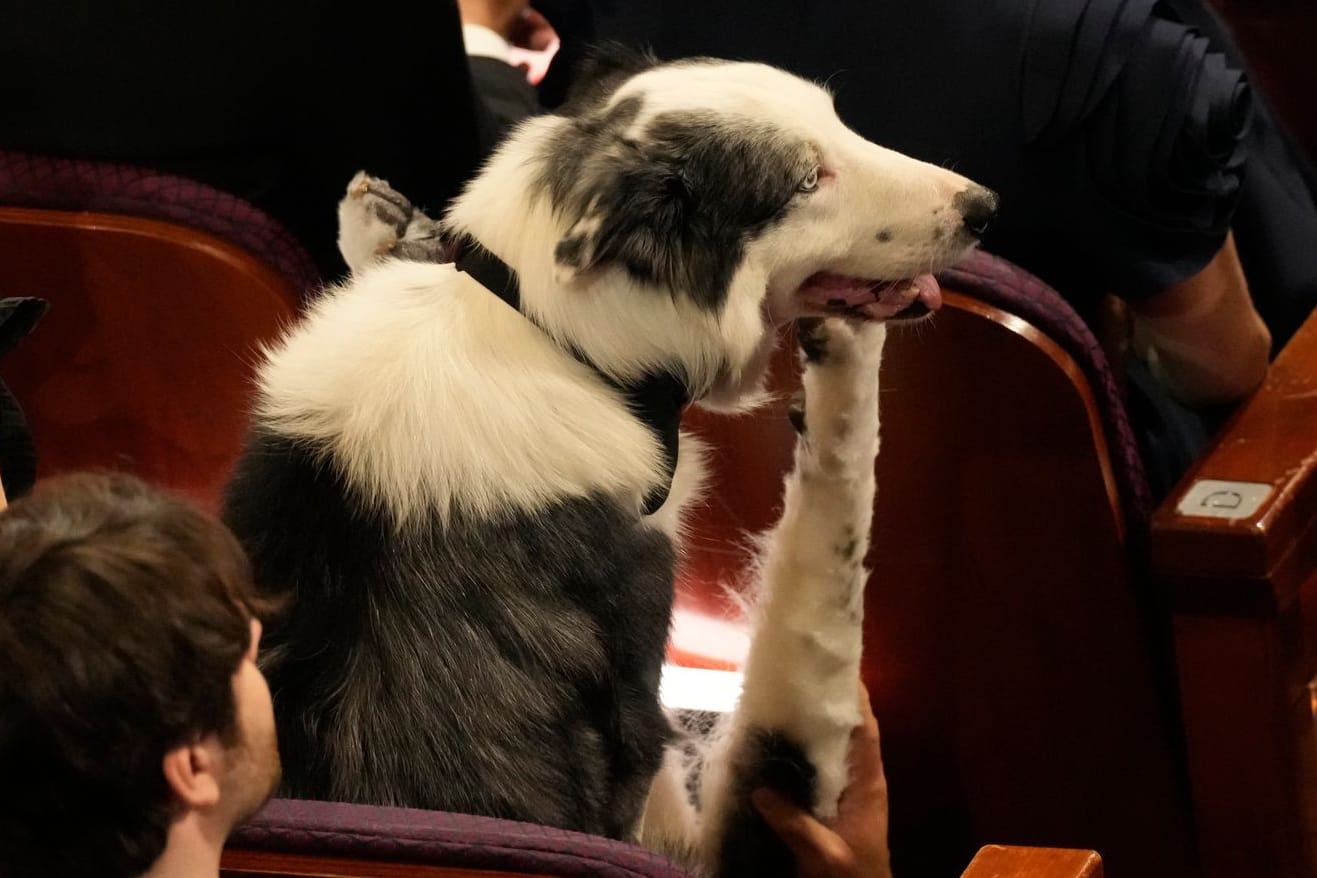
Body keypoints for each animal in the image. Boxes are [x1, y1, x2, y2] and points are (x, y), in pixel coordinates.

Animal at [221, 49, 990, 878]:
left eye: (839, 122)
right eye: (807, 181)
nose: (984, 207)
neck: (544, 332)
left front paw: (379, 230)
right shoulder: (693, 791)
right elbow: (832, 547)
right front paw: (850, 359)